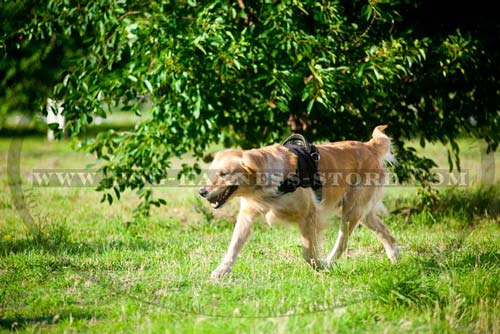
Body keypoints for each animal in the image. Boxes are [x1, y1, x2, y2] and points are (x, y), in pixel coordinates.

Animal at [198, 125, 398, 280]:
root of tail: (368, 146)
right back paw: (396, 257)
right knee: (384, 232)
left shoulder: (308, 216)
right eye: (211, 173)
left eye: (224, 174)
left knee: (342, 242)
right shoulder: (247, 215)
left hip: (351, 211)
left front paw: (319, 266)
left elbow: (308, 252)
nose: (202, 192)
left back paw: (328, 262)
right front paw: (222, 270)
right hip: (361, 212)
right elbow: (234, 245)